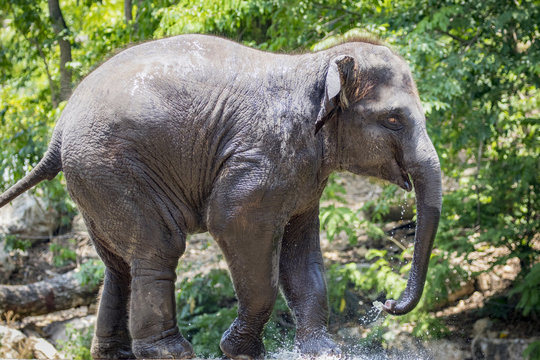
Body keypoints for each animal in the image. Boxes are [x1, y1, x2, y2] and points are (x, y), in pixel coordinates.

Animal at [0, 33, 442, 358]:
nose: (386, 305)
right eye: (393, 120)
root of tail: (58, 131)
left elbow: (302, 253)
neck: (316, 64)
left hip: (92, 180)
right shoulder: (263, 158)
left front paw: (323, 351)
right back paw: (171, 352)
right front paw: (240, 350)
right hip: (111, 168)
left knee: (118, 265)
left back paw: (115, 354)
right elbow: (234, 223)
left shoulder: (304, 177)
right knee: (159, 246)